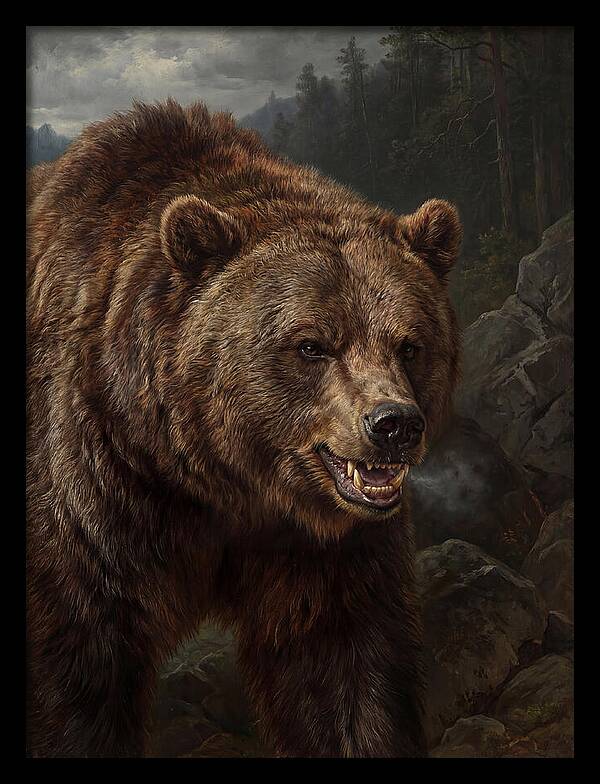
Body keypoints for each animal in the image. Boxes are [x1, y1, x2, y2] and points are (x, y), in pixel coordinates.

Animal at [26, 99, 462, 758]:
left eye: (410, 344)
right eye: (311, 345)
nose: (394, 425)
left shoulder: (324, 550)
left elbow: (346, 673)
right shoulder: (92, 493)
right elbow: (80, 673)